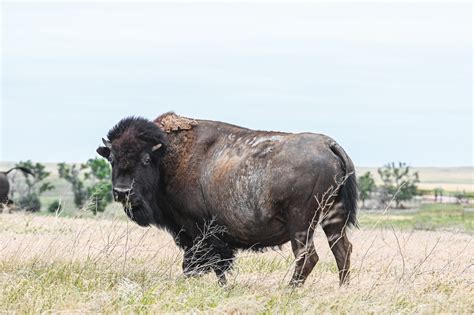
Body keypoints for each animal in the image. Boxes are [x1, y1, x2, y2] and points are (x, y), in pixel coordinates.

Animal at [99, 114, 360, 286]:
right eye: (111, 158)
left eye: (145, 159)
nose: (122, 191)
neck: (166, 155)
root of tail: (329, 144)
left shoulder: (199, 231)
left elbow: (210, 263)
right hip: (332, 219)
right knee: (342, 250)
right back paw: (342, 288)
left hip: (301, 224)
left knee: (308, 257)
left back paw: (288, 290)